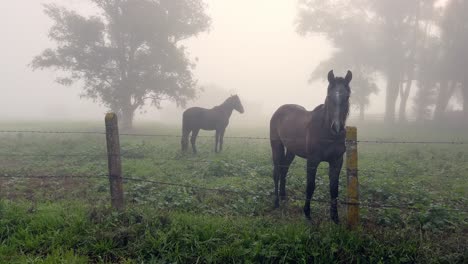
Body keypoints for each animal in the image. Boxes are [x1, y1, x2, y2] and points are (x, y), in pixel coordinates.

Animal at [270, 69, 352, 223]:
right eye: (329, 96)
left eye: (347, 97)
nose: (337, 128)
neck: (326, 133)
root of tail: (279, 110)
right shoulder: (313, 160)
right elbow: (310, 186)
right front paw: (307, 213)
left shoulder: (337, 161)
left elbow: (334, 188)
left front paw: (335, 217)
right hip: (276, 146)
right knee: (277, 172)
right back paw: (276, 202)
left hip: (291, 150)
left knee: (284, 169)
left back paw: (283, 197)